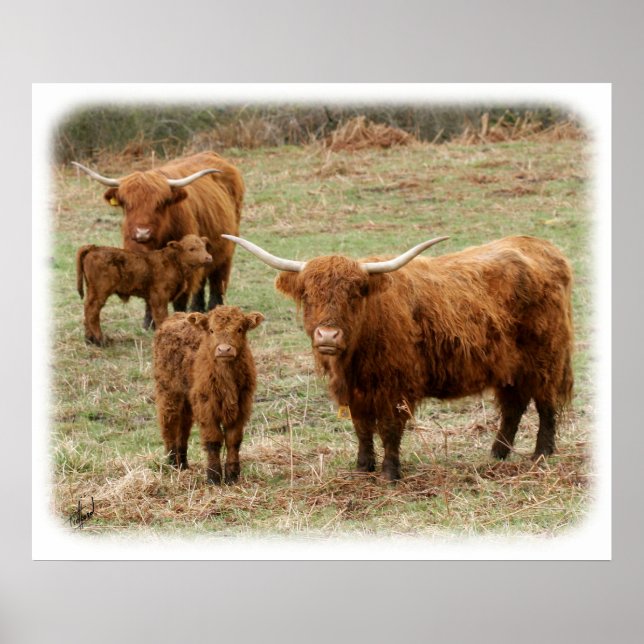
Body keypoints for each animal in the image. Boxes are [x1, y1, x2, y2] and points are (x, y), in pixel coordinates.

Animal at [72, 151, 244, 327]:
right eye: (127, 204)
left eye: (160, 203)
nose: (142, 233)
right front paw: (149, 323)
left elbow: (181, 297)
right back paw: (198, 309)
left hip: (226, 248)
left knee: (218, 280)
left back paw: (216, 310)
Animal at [76, 234, 212, 346]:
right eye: (191, 248)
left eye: (204, 247)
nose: (208, 257)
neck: (173, 262)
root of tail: (94, 248)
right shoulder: (159, 297)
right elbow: (161, 317)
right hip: (100, 292)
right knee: (92, 311)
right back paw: (100, 340)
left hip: (92, 290)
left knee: (88, 310)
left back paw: (89, 340)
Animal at [153, 306, 264, 484]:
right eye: (211, 330)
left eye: (240, 329)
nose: (224, 350)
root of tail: (176, 316)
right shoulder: (206, 406)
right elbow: (213, 440)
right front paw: (214, 476)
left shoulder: (242, 406)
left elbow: (234, 440)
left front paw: (232, 475)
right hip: (168, 391)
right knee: (168, 424)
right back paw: (172, 464)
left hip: (187, 400)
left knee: (183, 428)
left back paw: (183, 464)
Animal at [223, 233, 574, 481]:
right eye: (308, 294)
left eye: (354, 294)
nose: (327, 336)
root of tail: (542, 247)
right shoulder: (356, 392)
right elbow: (362, 428)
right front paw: (363, 468)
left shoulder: (396, 387)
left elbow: (390, 430)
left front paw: (390, 474)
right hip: (508, 367)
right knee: (513, 406)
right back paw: (497, 453)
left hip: (545, 358)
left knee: (545, 403)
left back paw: (541, 453)